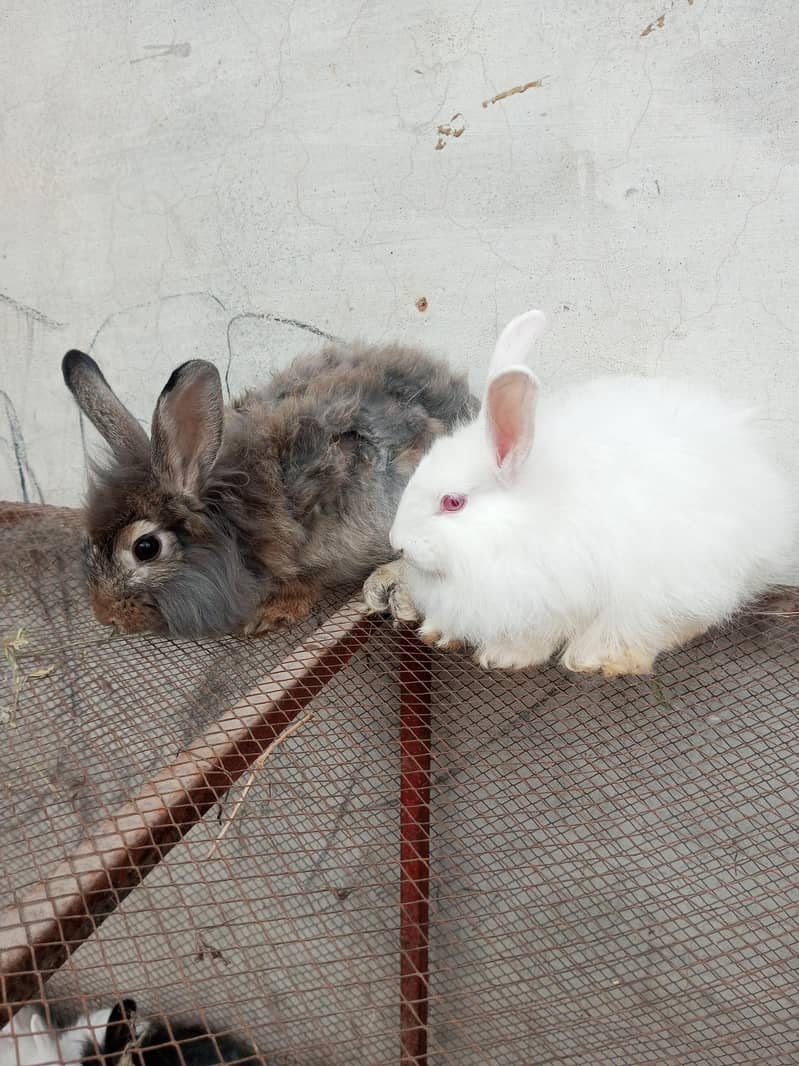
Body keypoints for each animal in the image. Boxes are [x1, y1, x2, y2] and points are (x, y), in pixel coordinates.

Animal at [362, 309, 798, 675]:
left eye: (453, 502)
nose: (398, 542)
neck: (517, 526)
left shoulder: (554, 596)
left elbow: (538, 635)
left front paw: (504, 656)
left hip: (690, 573)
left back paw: (600, 657)